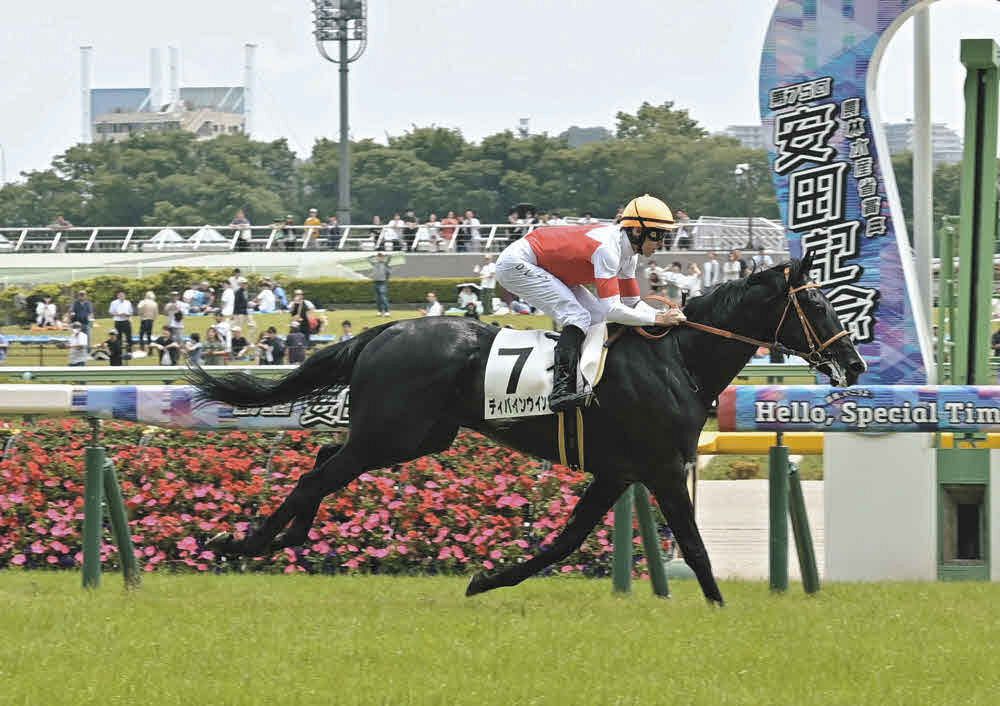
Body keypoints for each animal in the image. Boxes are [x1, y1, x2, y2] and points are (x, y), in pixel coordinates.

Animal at [188, 255, 865, 605]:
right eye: (820, 304)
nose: (855, 364)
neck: (676, 359)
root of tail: (387, 329)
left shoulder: (618, 471)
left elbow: (566, 540)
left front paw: (487, 578)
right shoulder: (663, 467)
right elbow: (695, 547)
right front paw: (719, 609)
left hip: (415, 436)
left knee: (324, 460)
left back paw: (283, 537)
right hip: (394, 435)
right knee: (321, 474)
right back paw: (244, 543)